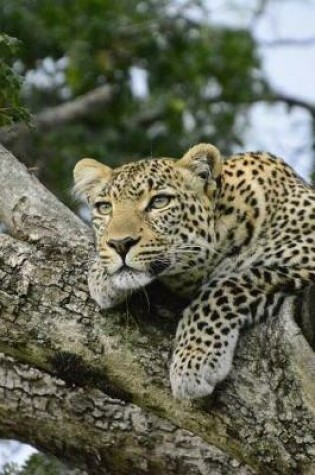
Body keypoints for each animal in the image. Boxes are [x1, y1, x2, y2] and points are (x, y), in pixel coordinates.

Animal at [73, 143, 315, 400]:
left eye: (159, 201)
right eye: (104, 207)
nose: (120, 244)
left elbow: (227, 285)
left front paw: (194, 361)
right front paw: (101, 275)